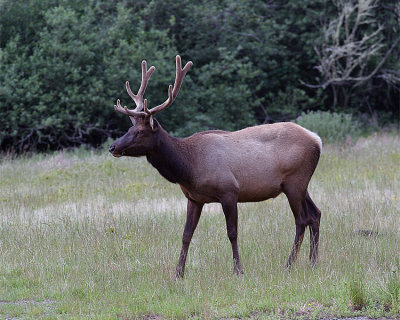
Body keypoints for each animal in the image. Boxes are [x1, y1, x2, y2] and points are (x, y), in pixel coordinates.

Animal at [109, 55, 322, 278]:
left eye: (140, 132)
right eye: (129, 128)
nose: (113, 147)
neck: (188, 167)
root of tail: (317, 140)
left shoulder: (229, 191)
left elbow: (232, 232)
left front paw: (238, 270)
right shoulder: (194, 198)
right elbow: (186, 234)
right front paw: (178, 273)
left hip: (294, 181)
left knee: (301, 220)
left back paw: (289, 264)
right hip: (300, 184)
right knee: (315, 214)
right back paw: (313, 262)